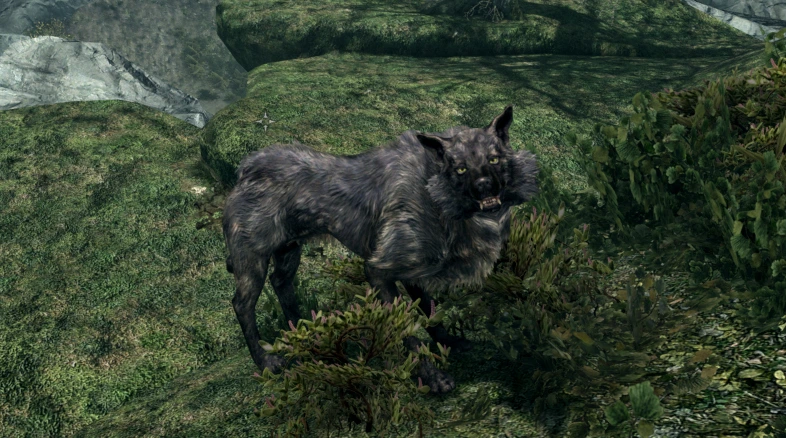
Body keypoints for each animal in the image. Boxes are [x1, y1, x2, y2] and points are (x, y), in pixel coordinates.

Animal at [223, 105, 538, 393]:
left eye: (494, 159)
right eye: (460, 168)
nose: (484, 187)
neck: (433, 191)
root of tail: (245, 169)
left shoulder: (413, 273)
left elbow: (430, 313)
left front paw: (450, 342)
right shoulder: (378, 272)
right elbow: (408, 330)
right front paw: (433, 378)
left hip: (288, 251)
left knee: (281, 284)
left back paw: (305, 333)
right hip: (252, 261)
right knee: (242, 304)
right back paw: (265, 361)